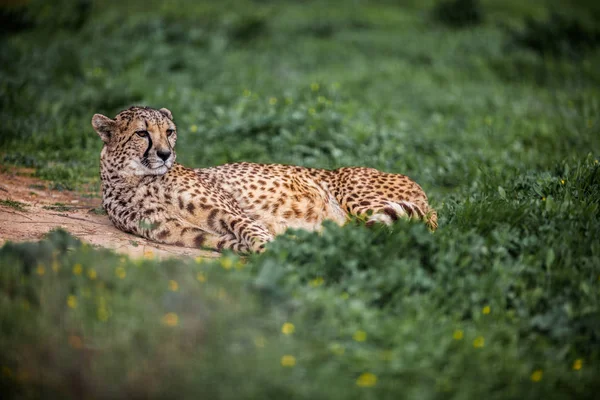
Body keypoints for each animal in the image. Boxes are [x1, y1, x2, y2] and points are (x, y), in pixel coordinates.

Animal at [94, 107, 438, 253]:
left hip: (362, 201)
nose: (166, 154)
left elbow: (254, 233)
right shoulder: (184, 233)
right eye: (142, 133)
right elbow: (236, 244)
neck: (135, 180)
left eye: (170, 131)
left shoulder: (233, 213)